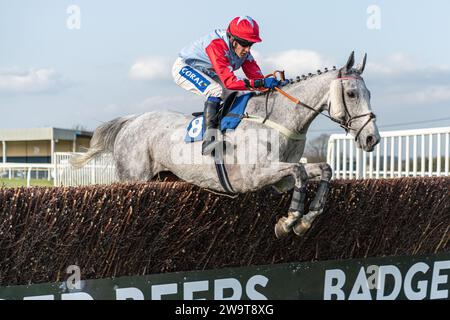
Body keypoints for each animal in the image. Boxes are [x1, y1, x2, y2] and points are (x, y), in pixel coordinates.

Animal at [72, 51, 382, 238]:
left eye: (369, 92)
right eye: (352, 93)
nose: (372, 138)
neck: (278, 120)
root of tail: (132, 120)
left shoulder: (279, 179)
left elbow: (321, 170)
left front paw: (305, 221)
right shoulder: (254, 176)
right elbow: (300, 172)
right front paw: (288, 222)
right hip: (133, 177)